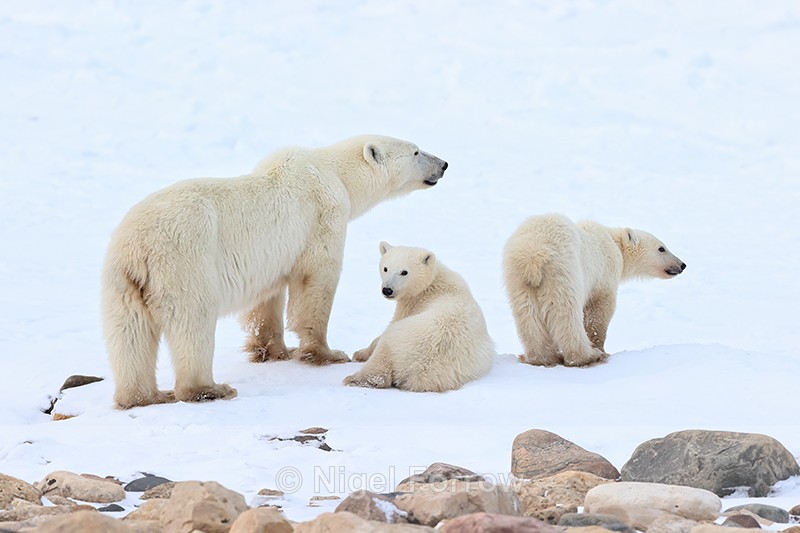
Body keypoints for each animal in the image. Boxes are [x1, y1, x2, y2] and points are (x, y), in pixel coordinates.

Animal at [102, 135, 448, 409]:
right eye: (416, 151)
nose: (444, 163)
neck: (334, 172)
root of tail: (139, 247)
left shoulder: (271, 257)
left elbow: (267, 298)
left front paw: (274, 350)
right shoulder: (322, 216)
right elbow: (316, 283)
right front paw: (327, 353)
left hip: (123, 280)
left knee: (129, 334)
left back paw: (144, 396)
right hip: (184, 262)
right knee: (193, 322)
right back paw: (209, 389)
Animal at [343, 242, 495, 392]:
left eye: (404, 272)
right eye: (385, 268)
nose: (387, 290)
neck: (431, 283)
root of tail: (417, 367)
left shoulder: (411, 304)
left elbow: (388, 327)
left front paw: (359, 353)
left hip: (399, 337)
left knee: (382, 354)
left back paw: (353, 378)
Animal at [502, 213, 686, 367]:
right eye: (661, 248)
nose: (682, 264)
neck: (614, 242)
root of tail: (533, 255)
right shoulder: (603, 273)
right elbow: (599, 310)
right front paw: (600, 347)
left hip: (519, 280)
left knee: (528, 316)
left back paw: (542, 358)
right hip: (563, 272)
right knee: (566, 314)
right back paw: (587, 356)